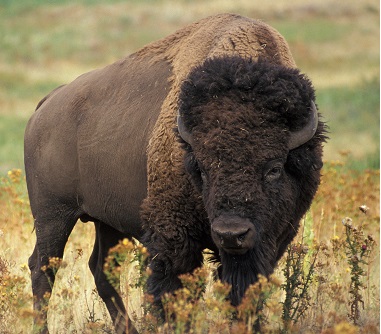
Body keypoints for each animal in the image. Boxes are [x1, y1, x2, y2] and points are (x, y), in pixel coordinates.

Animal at [25, 13, 326, 334]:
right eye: (202, 169)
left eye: (274, 169)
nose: (231, 234)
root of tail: (46, 105)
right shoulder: (174, 237)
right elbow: (173, 292)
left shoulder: (272, 240)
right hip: (53, 215)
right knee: (43, 267)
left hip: (106, 221)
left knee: (101, 268)